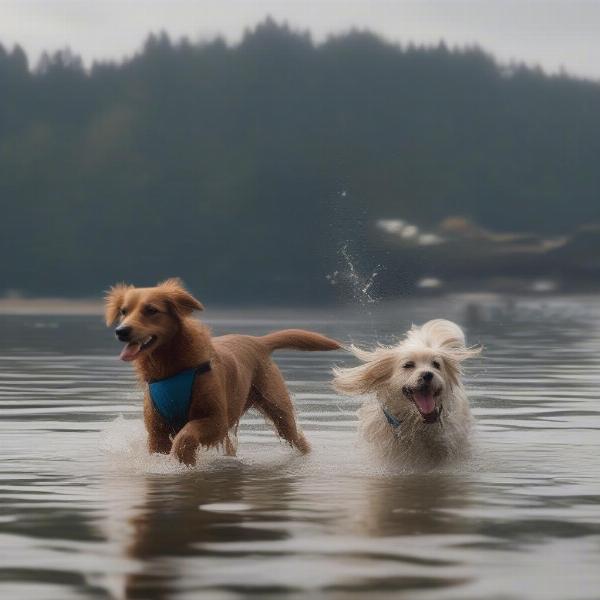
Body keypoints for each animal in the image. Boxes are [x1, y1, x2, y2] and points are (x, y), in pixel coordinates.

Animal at [105, 278, 340, 466]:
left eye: (151, 310)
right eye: (124, 311)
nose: (121, 331)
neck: (171, 368)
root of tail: (258, 341)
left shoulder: (216, 420)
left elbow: (186, 435)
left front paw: (182, 457)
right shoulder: (157, 431)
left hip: (279, 411)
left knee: (298, 438)